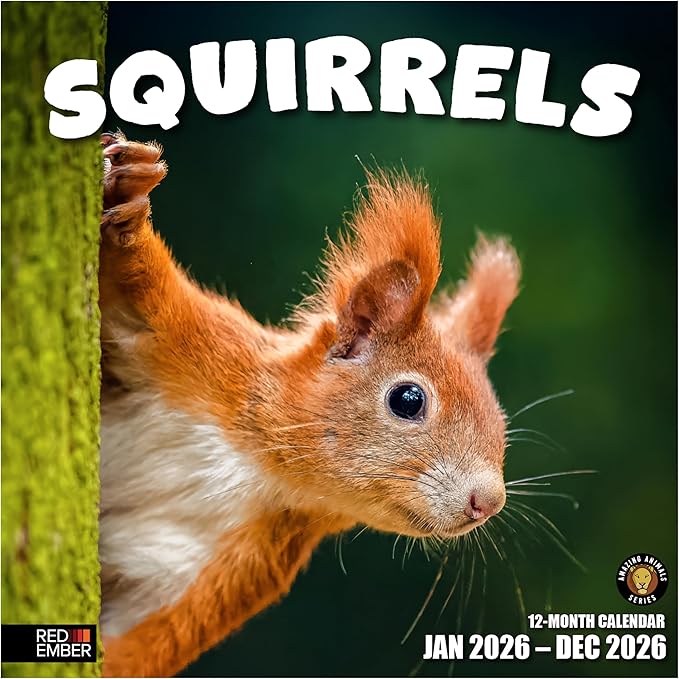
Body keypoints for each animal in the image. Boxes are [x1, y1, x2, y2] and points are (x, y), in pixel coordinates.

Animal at [98, 132, 521, 677]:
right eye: (408, 400)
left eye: (501, 422)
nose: (488, 502)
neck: (259, 466)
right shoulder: (195, 346)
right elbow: (137, 289)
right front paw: (128, 202)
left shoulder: (234, 567)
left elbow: (142, 642)